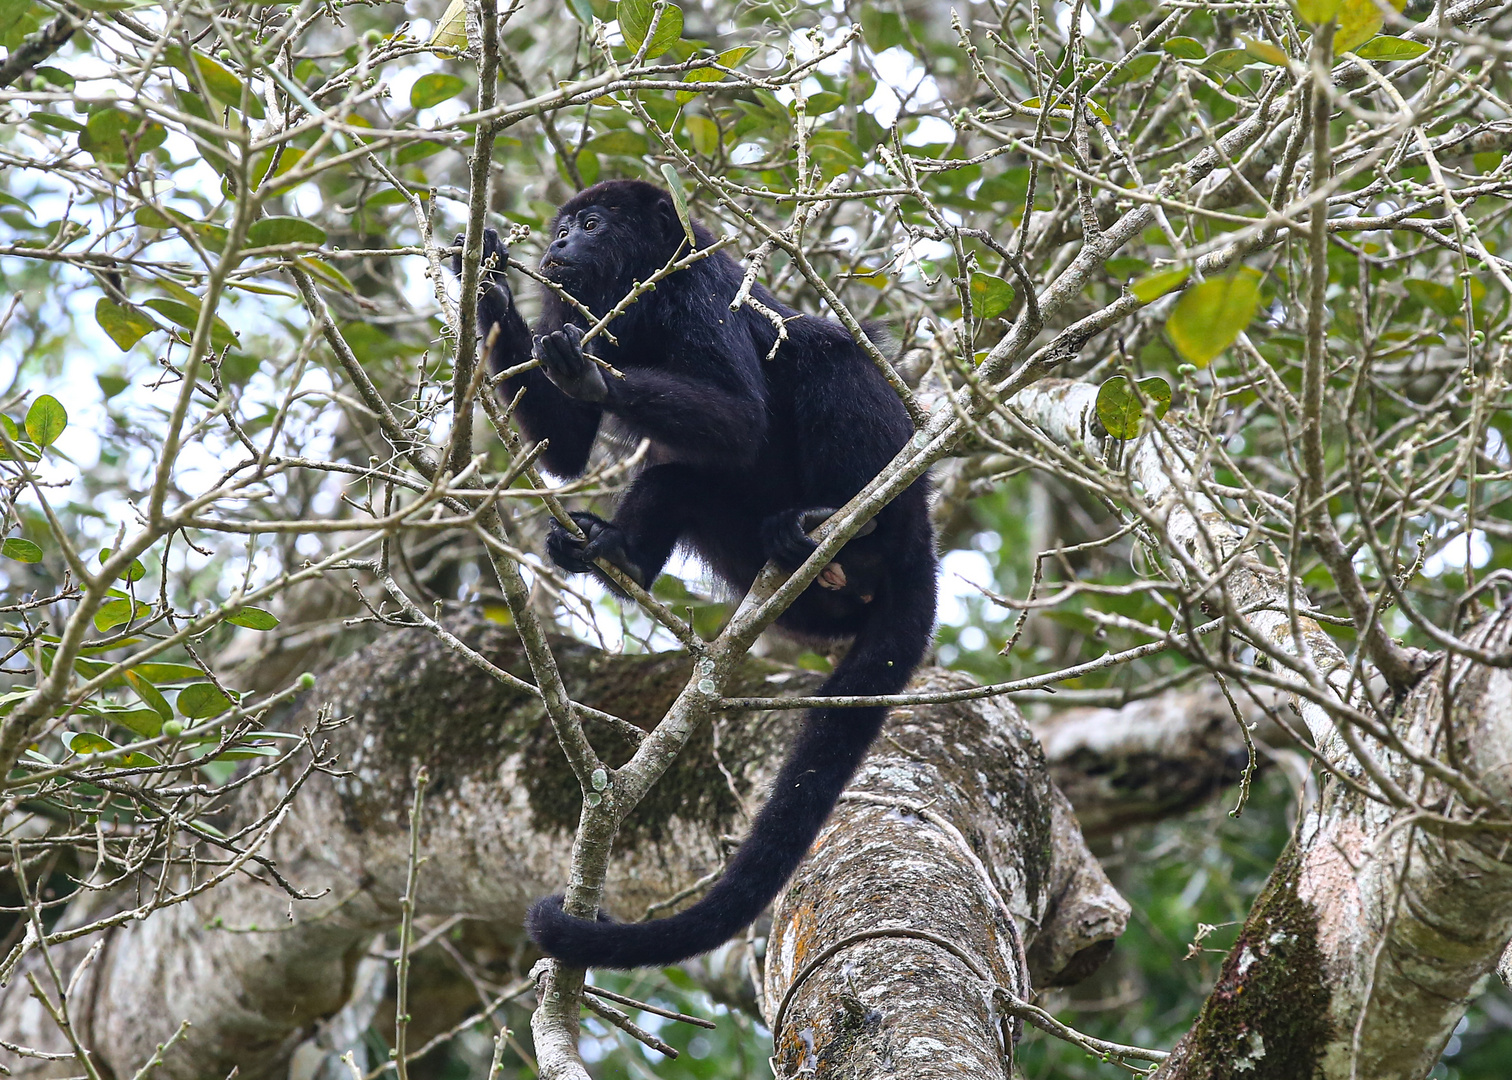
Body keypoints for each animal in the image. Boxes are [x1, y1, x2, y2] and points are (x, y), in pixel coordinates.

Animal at [453, 178, 937, 968]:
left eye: (590, 222)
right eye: (560, 229)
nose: (558, 245)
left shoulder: (700, 287)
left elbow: (741, 415)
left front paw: (593, 375)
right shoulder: (565, 300)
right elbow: (567, 449)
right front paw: (489, 279)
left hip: (894, 502)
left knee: (822, 347)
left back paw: (851, 531)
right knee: (674, 475)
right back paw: (618, 554)